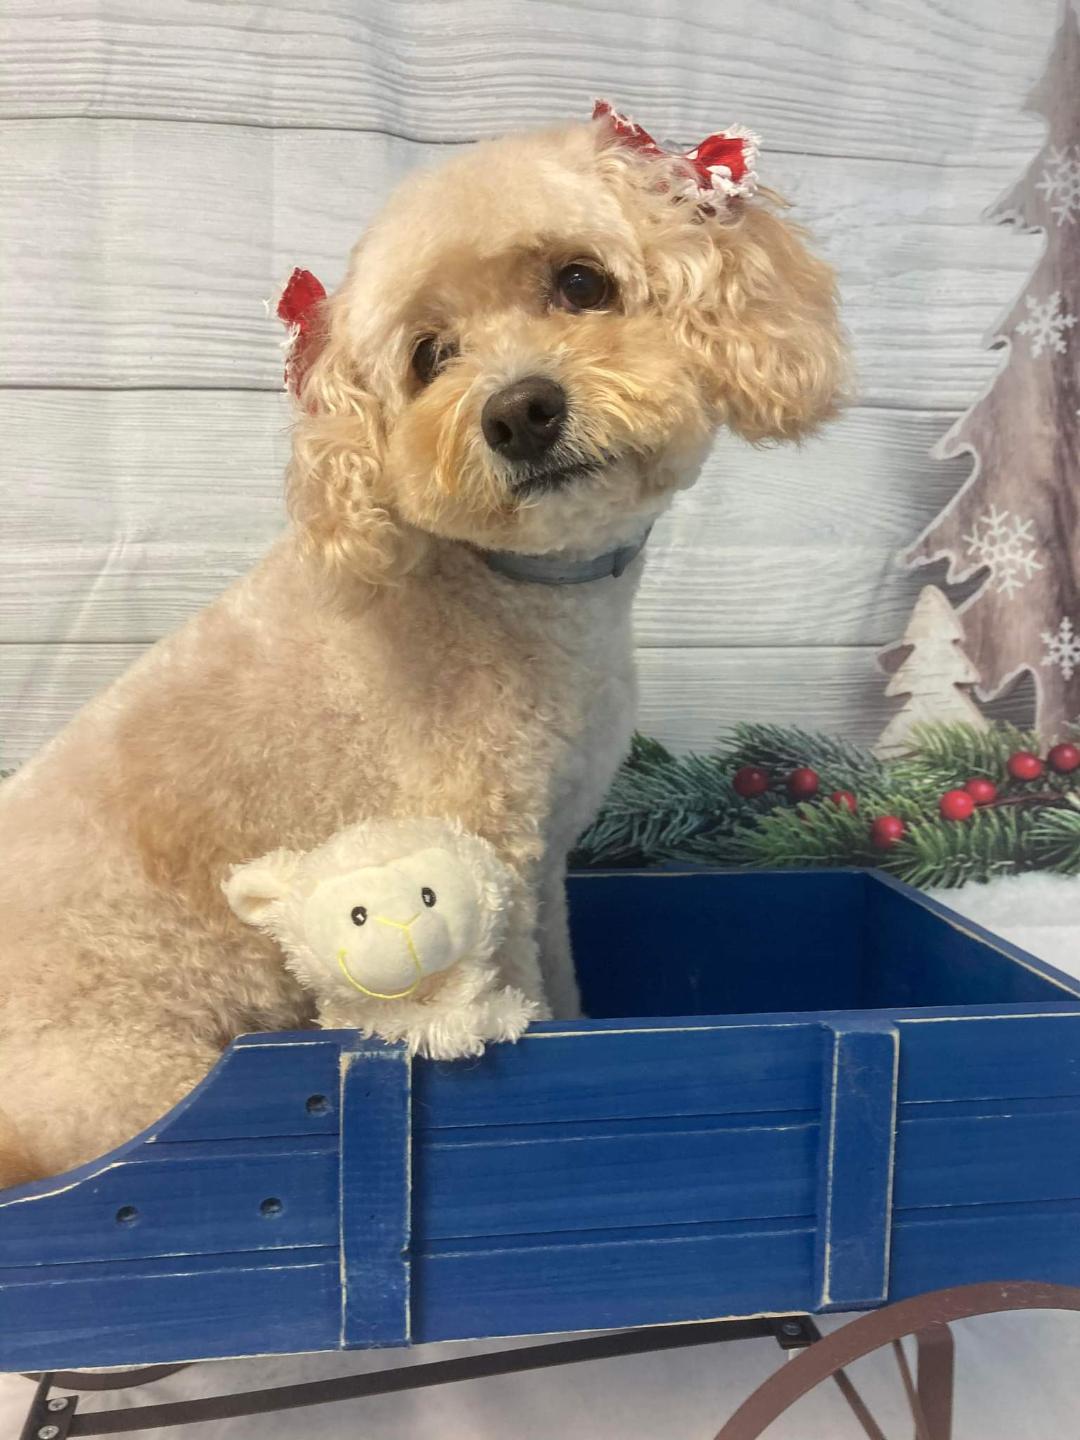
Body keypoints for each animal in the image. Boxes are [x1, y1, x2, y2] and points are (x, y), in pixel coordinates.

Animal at [0, 112, 852, 1186]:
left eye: (582, 282)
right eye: (430, 355)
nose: (519, 411)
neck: (510, 590)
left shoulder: (542, 868)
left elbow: (569, 990)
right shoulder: (487, 857)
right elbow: (528, 1005)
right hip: (125, 1083)